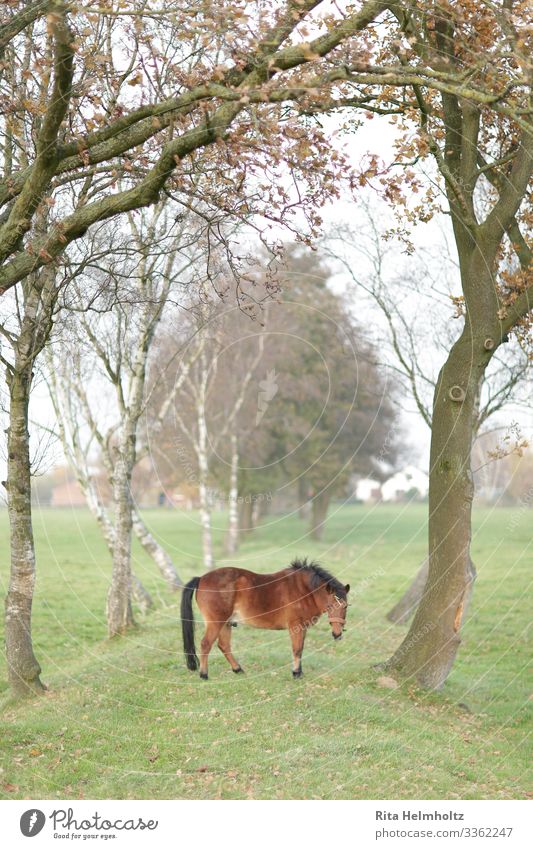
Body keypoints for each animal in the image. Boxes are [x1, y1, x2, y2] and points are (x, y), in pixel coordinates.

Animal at [180, 556, 350, 684]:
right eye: (330, 605)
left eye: (346, 606)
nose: (337, 633)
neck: (304, 589)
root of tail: (201, 578)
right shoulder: (295, 626)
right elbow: (297, 649)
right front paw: (296, 673)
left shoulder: (303, 627)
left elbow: (300, 649)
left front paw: (299, 672)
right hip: (216, 623)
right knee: (206, 644)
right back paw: (204, 674)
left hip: (225, 624)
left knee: (224, 646)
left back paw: (238, 669)